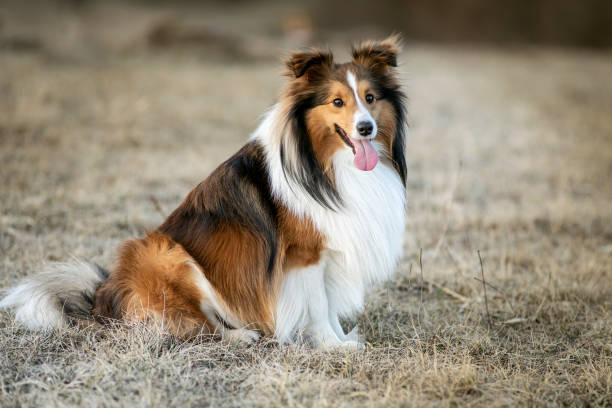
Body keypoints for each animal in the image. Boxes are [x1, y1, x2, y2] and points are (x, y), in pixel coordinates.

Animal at [0, 36, 406, 348]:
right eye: (337, 102)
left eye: (370, 98)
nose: (366, 128)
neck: (326, 165)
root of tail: (101, 301)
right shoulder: (304, 256)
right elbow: (319, 307)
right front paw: (332, 346)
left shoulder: (331, 250)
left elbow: (329, 304)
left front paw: (343, 339)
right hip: (166, 254)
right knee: (196, 328)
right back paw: (241, 336)